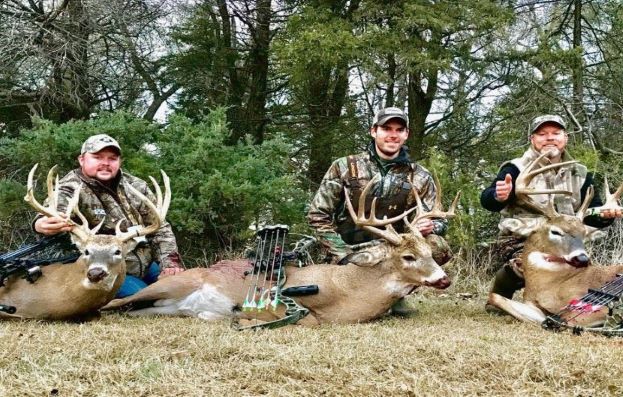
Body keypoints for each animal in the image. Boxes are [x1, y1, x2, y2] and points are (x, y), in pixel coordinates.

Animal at [102, 175, 460, 324]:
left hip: (165, 307)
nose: (444, 279)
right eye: (408, 256)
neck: (350, 292)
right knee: (116, 302)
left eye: (430, 254)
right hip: (173, 282)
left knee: (132, 310)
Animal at [488, 155, 623, 328]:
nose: (583, 258)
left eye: (583, 234)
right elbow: (494, 297)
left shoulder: (595, 308)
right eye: (555, 231)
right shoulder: (534, 307)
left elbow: (566, 318)